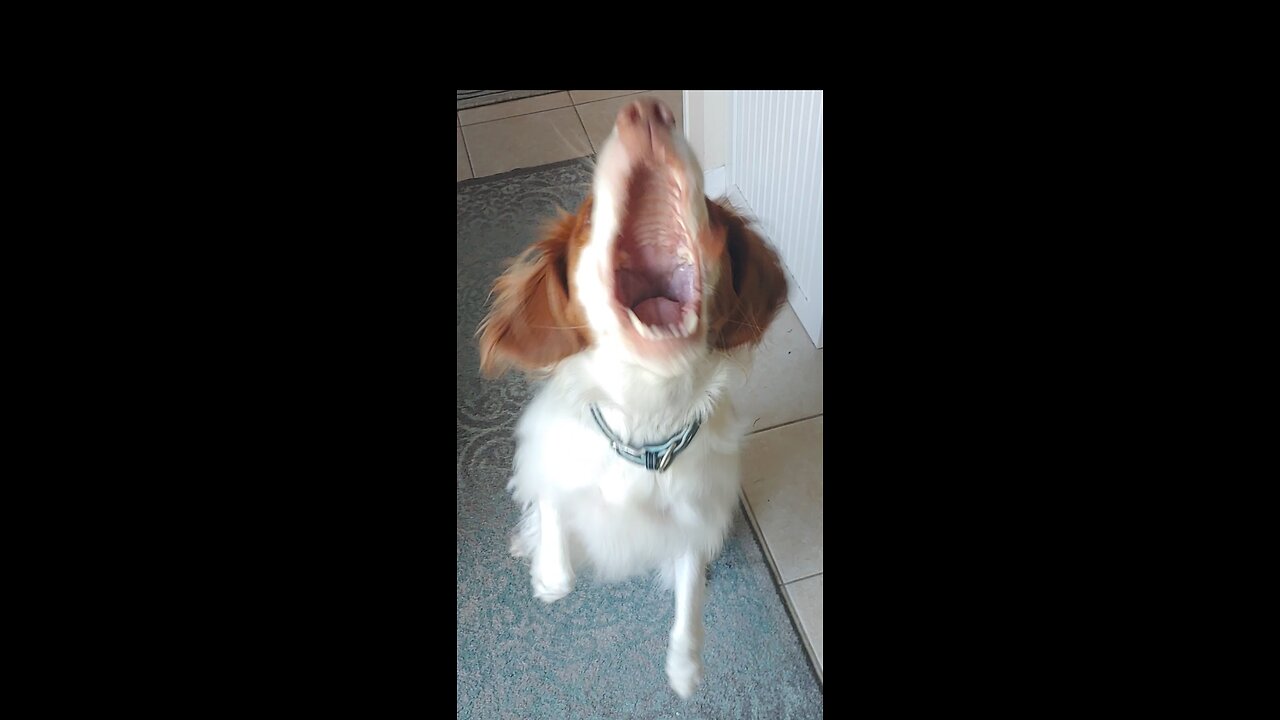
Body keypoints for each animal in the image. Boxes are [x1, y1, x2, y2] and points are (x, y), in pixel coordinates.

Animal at [476, 96, 783, 696]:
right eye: (589, 214)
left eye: (710, 210)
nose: (646, 109)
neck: (644, 424)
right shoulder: (544, 449)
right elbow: (552, 507)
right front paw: (548, 571)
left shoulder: (696, 520)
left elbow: (689, 592)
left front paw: (685, 665)